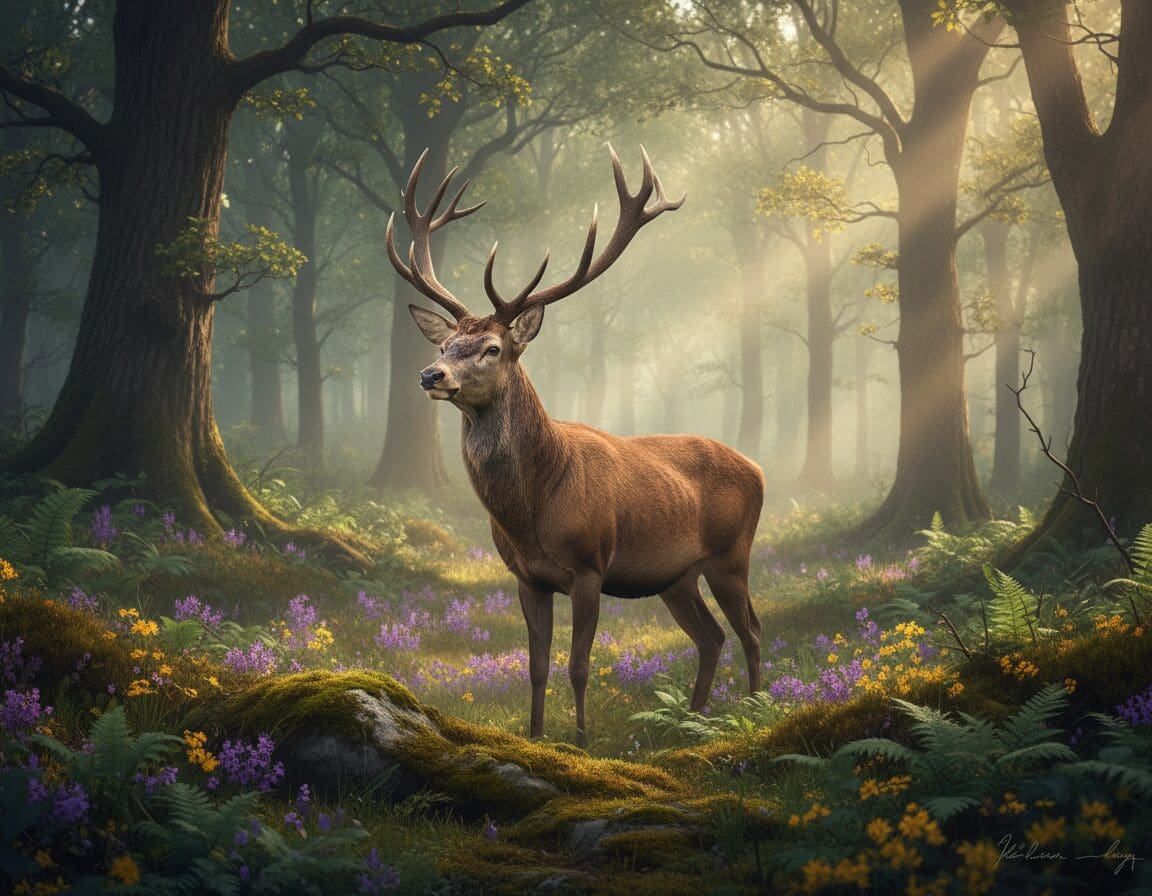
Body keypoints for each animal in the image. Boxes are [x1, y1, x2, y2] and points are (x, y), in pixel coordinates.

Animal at [387, 146, 764, 743]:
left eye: (492, 348)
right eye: (446, 345)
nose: (430, 375)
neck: (535, 508)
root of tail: (759, 469)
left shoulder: (590, 567)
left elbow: (579, 665)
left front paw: (584, 739)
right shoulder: (526, 578)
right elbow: (537, 666)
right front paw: (536, 736)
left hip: (732, 553)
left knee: (750, 629)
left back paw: (753, 709)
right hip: (676, 575)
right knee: (712, 635)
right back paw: (693, 719)